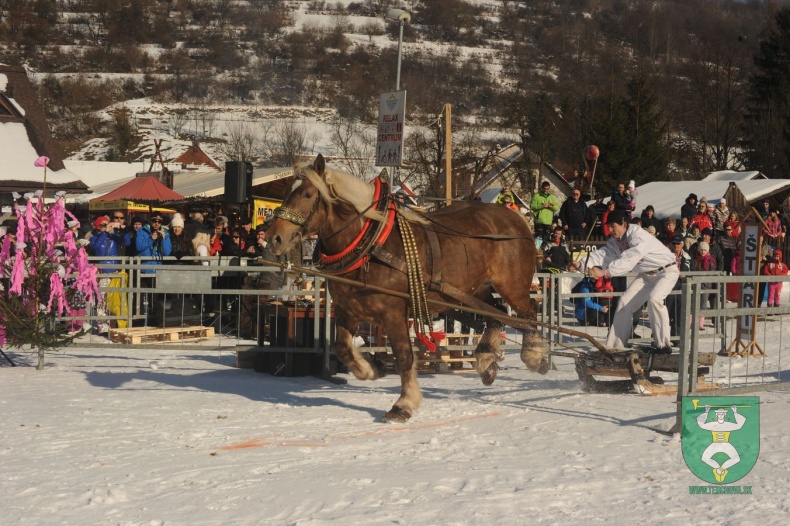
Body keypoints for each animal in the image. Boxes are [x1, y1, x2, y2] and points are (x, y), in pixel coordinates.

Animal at [270, 155, 548, 422]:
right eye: (287, 191)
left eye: (307, 194)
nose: (275, 238)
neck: (371, 243)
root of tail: (516, 219)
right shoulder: (349, 310)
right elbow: (343, 349)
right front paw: (372, 369)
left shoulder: (393, 313)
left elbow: (404, 356)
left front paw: (404, 404)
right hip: (473, 289)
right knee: (495, 313)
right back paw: (487, 358)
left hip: (512, 286)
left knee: (529, 312)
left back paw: (534, 356)